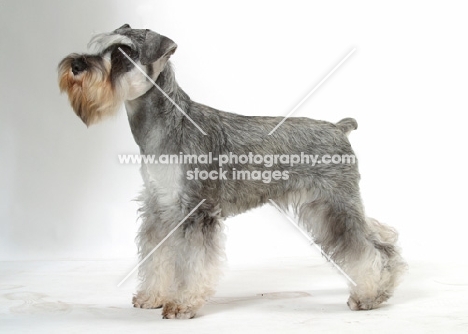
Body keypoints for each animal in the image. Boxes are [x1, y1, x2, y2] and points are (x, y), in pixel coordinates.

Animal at [57, 24, 406, 318]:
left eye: (123, 54)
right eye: (102, 46)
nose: (77, 66)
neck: (166, 126)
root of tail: (338, 127)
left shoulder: (195, 211)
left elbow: (192, 263)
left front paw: (182, 304)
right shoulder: (160, 208)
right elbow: (157, 255)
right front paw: (151, 296)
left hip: (334, 206)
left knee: (366, 249)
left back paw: (368, 296)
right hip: (329, 206)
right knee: (382, 238)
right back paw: (384, 288)